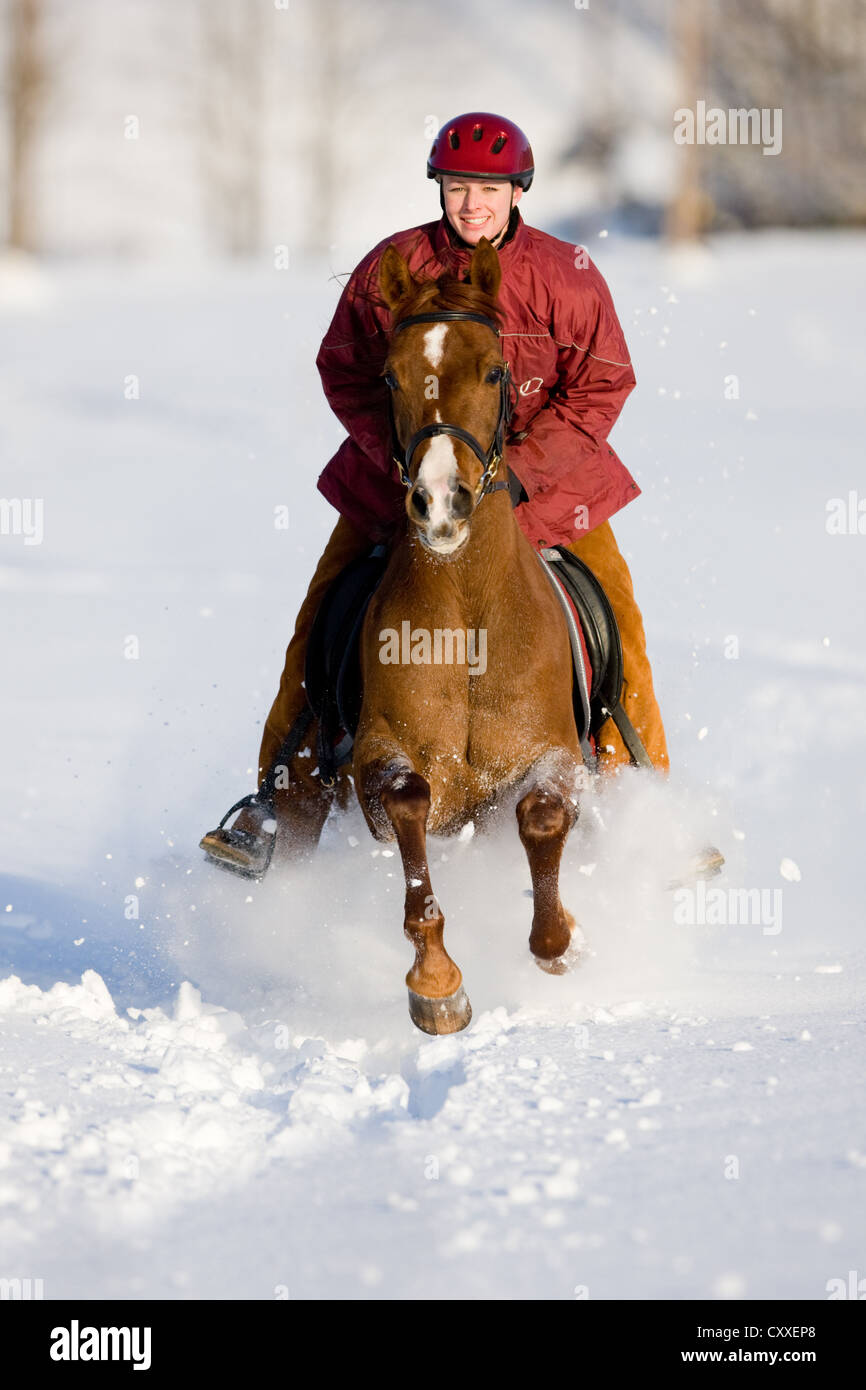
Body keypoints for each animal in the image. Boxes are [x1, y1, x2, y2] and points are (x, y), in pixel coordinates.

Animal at [351, 237, 586, 1036]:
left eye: (492, 369)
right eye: (389, 374)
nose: (440, 502)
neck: (469, 615)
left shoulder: (552, 749)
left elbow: (541, 815)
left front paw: (555, 939)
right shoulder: (378, 751)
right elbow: (409, 800)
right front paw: (436, 982)